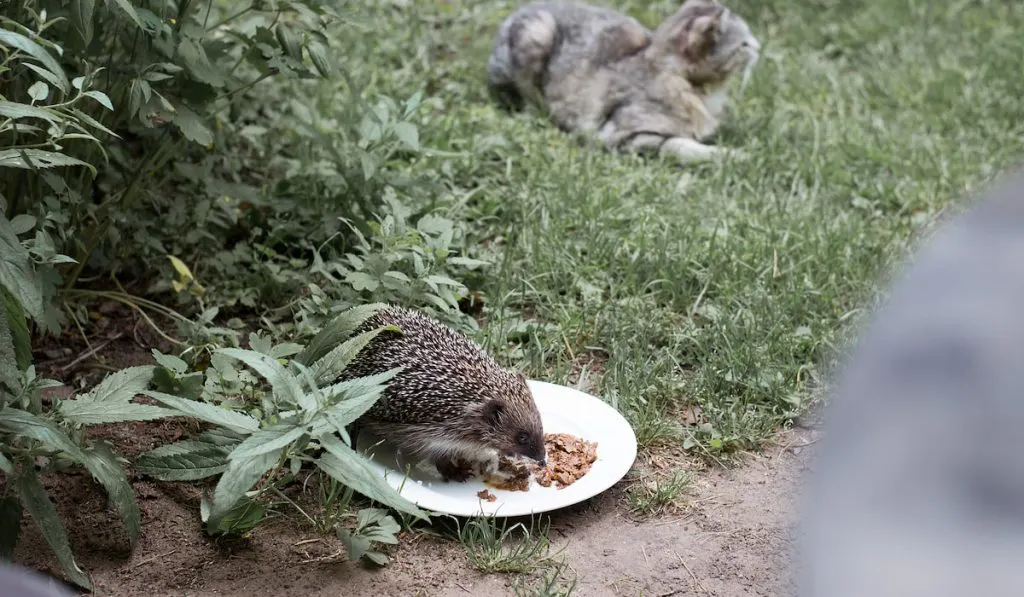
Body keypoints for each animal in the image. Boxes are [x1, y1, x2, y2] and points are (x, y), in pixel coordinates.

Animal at [487, 0, 761, 163]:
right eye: (744, 44)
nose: (760, 47)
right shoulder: (622, 136)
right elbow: (680, 144)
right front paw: (733, 154)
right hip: (537, 35)